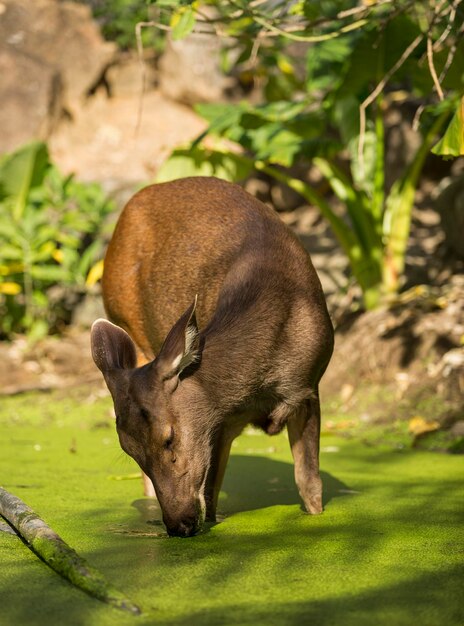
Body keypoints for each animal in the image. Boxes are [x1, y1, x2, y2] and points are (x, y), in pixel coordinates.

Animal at [91, 177, 334, 536]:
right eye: (128, 450)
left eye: (169, 438)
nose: (177, 524)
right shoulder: (221, 422)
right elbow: (210, 497)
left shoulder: (308, 390)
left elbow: (310, 485)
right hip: (125, 315)